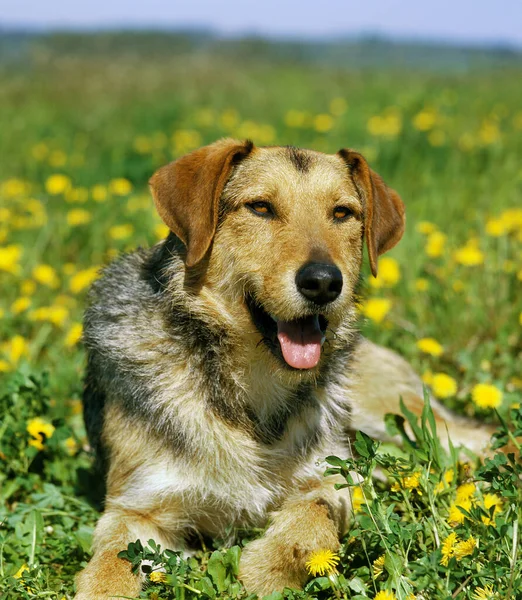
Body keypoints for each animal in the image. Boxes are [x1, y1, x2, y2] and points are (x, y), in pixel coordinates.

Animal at [73, 139, 492, 596]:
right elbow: (110, 564)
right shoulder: (137, 506)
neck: (250, 387)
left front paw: (267, 570)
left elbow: (313, 523)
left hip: (396, 415)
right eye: (260, 207)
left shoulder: (328, 479)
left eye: (342, 212)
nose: (324, 282)